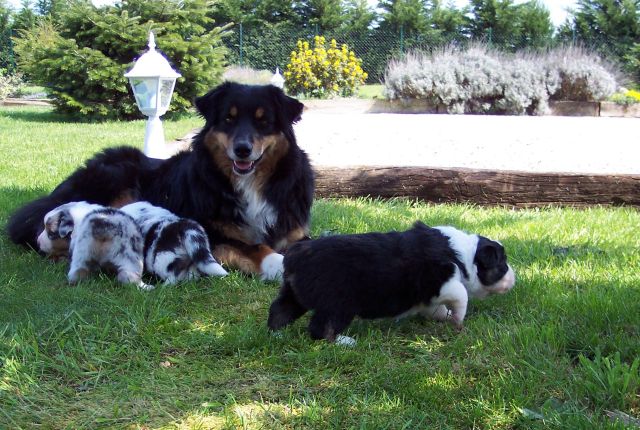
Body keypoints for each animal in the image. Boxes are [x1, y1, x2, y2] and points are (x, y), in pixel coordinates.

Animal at [5, 82, 316, 280]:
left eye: (263, 121)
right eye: (229, 119)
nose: (242, 149)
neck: (250, 184)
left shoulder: (294, 232)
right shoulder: (214, 234)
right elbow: (257, 248)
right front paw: (278, 265)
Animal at [266, 222, 516, 346]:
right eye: (502, 264)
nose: (514, 278)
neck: (466, 254)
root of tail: (297, 254)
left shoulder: (428, 297)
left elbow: (436, 309)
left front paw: (445, 317)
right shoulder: (442, 281)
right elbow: (461, 294)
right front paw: (457, 320)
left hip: (294, 294)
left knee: (279, 310)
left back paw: (276, 335)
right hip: (339, 305)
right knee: (320, 328)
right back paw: (344, 341)